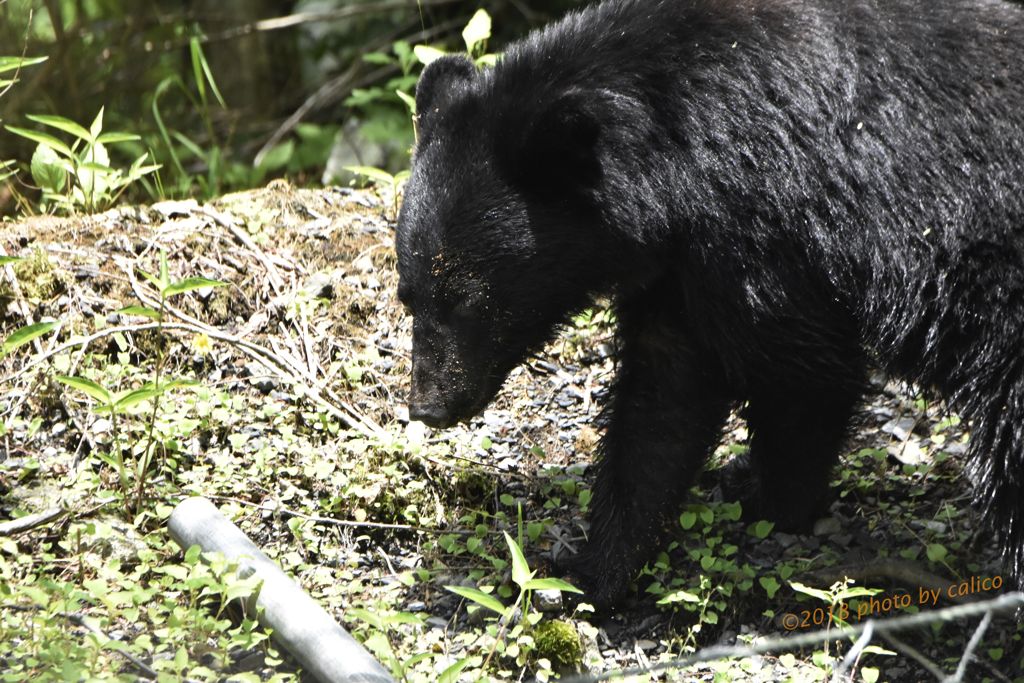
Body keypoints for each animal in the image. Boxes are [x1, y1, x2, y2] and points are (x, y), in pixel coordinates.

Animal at [395, 0, 1024, 610]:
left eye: (468, 300)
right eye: (410, 296)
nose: (427, 405)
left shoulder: (762, 227)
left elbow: (803, 370)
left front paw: (774, 501)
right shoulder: (680, 264)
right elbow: (663, 398)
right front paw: (590, 573)